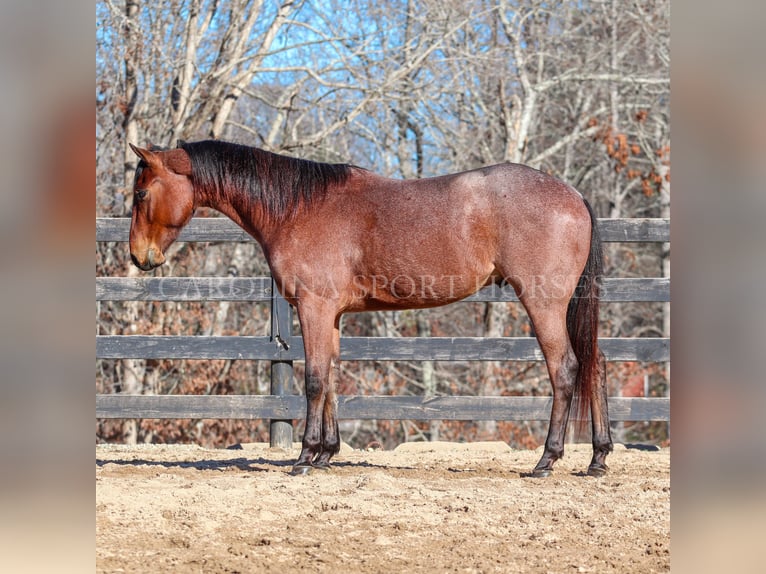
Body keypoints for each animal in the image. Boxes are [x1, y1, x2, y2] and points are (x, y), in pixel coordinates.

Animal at [129, 138, 616, 476]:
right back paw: (597, 458)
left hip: (543, 303)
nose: (138, 257)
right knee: (595, 365)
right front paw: (326, 453)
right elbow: (331, 379)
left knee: (566, 369)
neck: (297, 208)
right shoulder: (332, 315)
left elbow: (314, 379)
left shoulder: (314, 308)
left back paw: (547, 460)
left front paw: (305, 456)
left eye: (140, 194)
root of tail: (573, 195)